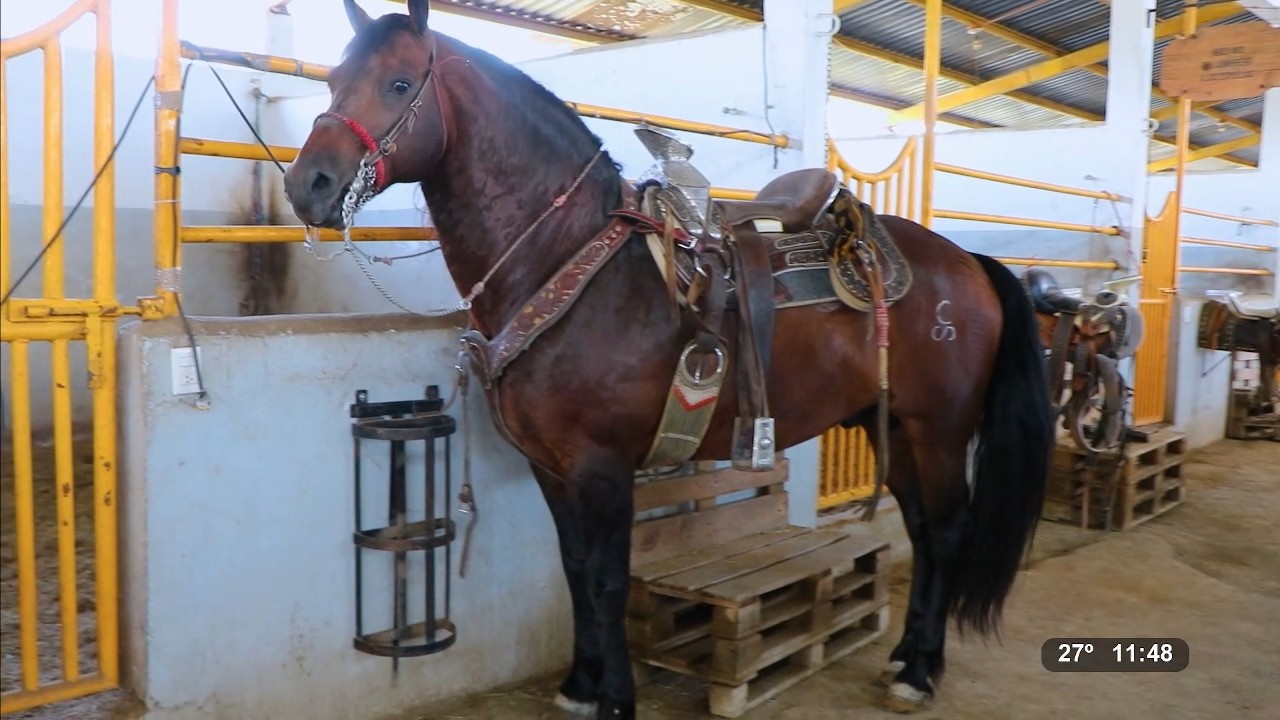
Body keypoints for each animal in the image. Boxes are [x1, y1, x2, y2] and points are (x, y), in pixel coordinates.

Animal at [282, 2, 1054, 717]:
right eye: (334, 79)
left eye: (398, 82)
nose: (307, 184)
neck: (567, 261)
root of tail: (968, 261)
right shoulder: (551, 468)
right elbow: (574, 570)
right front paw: (580, 684)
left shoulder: (602, 467)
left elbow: (608, 580)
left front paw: (616, 699)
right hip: (885, 422)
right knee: (922, 531)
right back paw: (906, 656)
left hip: (939, 429)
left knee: (948, 531)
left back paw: (920, 671)